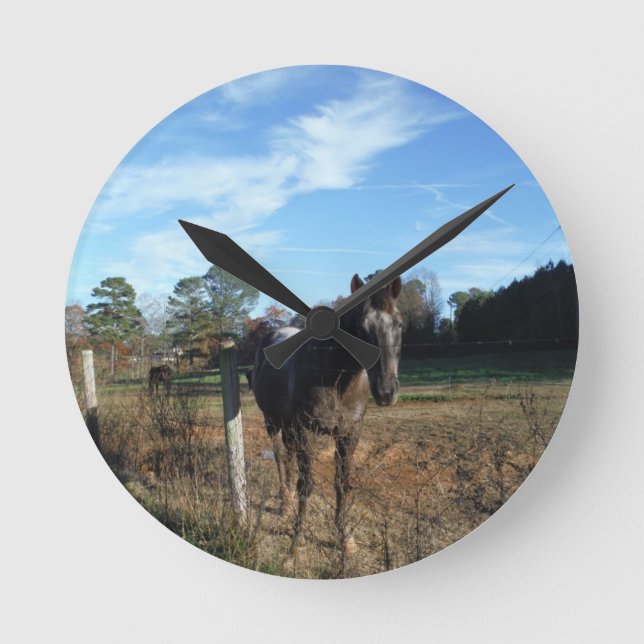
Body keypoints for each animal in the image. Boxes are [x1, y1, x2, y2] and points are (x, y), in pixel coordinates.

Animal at [252, 274, 402, 553]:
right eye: (361, 327)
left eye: (398, 323)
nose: (386, 391)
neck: (334, 376)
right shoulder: (305, 430)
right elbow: (306, 484)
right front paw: (298, 540)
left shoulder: (349, 432)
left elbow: (342, 483)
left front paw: (344, 537)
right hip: (273, 423)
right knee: (279, 459)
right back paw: (284, 503)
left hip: (288, 427)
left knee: (287, 457)